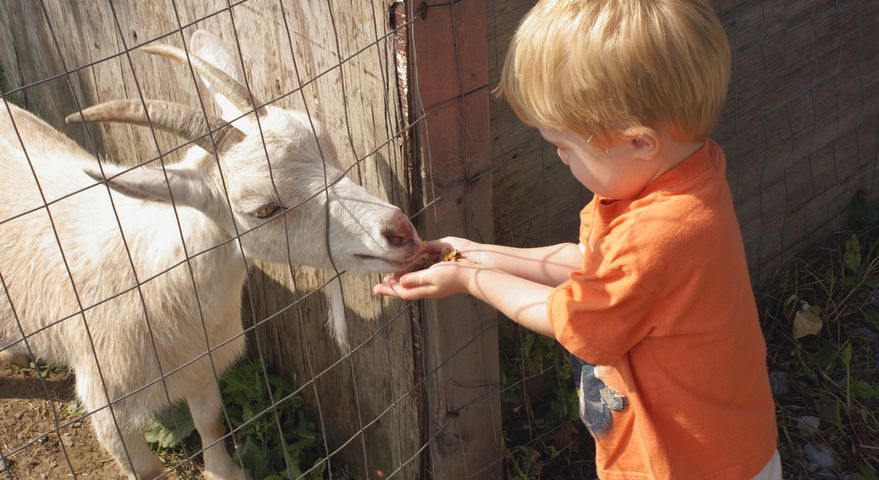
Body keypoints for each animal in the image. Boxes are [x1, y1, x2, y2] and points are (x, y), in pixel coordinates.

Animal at [0, 31, 422, 480]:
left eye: (330, 151)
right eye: (264, 209)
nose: (400, 232)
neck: (155, 281)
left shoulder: (201, 364)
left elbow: (210, 422)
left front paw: (226, 472)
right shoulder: (107, 404)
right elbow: (146, 469)